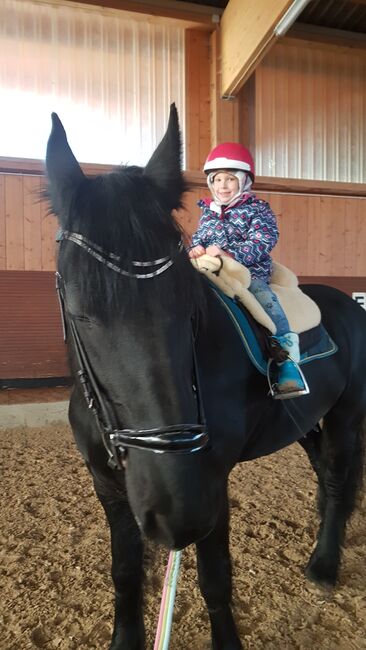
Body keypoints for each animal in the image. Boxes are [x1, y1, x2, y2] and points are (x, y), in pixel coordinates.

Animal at [46, 104, 366, 644]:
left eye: (187, 306)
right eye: (79, 311)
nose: (175, 512)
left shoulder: (211, 485)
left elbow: (216, 579)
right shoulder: (108, 486)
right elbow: (124, 570)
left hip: (346, 416)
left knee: (341, 477)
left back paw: (324, 563)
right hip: (307, 422)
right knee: (325, 470)